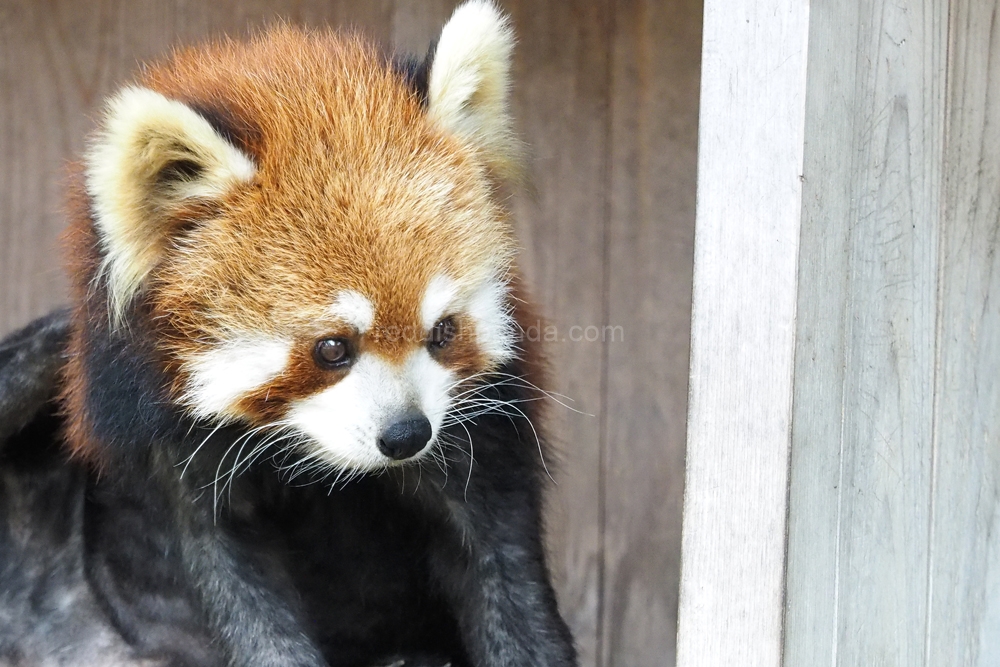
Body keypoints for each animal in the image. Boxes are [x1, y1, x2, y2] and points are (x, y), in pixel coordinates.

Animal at [0, 1, 580, 667]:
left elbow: (500, 562)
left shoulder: (483, 427)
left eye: (442, 331)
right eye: (332, 348)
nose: (406, 434)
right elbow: (235, 584)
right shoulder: (175, 451)